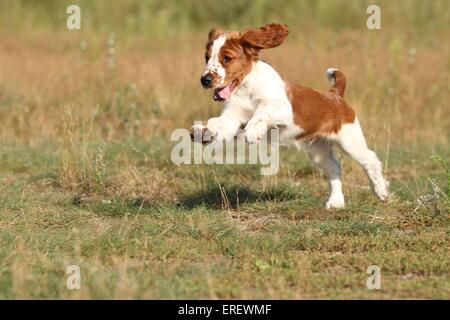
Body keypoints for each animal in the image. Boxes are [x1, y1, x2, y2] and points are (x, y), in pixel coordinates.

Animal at [192, 22, 388, 208]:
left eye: (227, 58)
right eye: (206, 58)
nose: (204, 80)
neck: (246, 87)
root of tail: (334, 94)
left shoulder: (283, 107)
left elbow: (263, 108)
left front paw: (253, 131)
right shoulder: (232, 118)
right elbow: (218, 123)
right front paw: (203, 131)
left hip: (350, 140)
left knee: (370, 159)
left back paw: (381, 192)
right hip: (318, 150)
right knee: (334, 168)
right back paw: (336, 202)